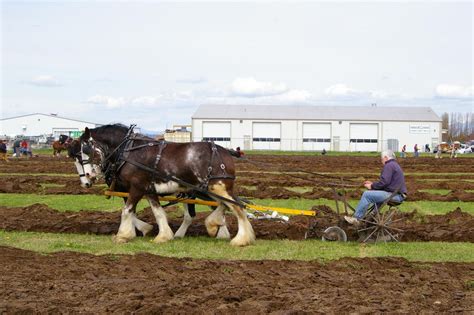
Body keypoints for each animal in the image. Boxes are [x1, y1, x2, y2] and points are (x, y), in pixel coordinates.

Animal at [69, 125, 256, 247]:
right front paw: (163, 235)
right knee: (227, 205)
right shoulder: (148, 189)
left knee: (238, 207)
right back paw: (215, 227)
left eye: (86, 150)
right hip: (210, 188)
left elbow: (127, 211)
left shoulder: (136, 187)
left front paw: (122, 236)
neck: (128, 151)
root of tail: (226, 151)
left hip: (218, 187)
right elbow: (158, 212)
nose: (87, 178)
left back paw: (240, 239)